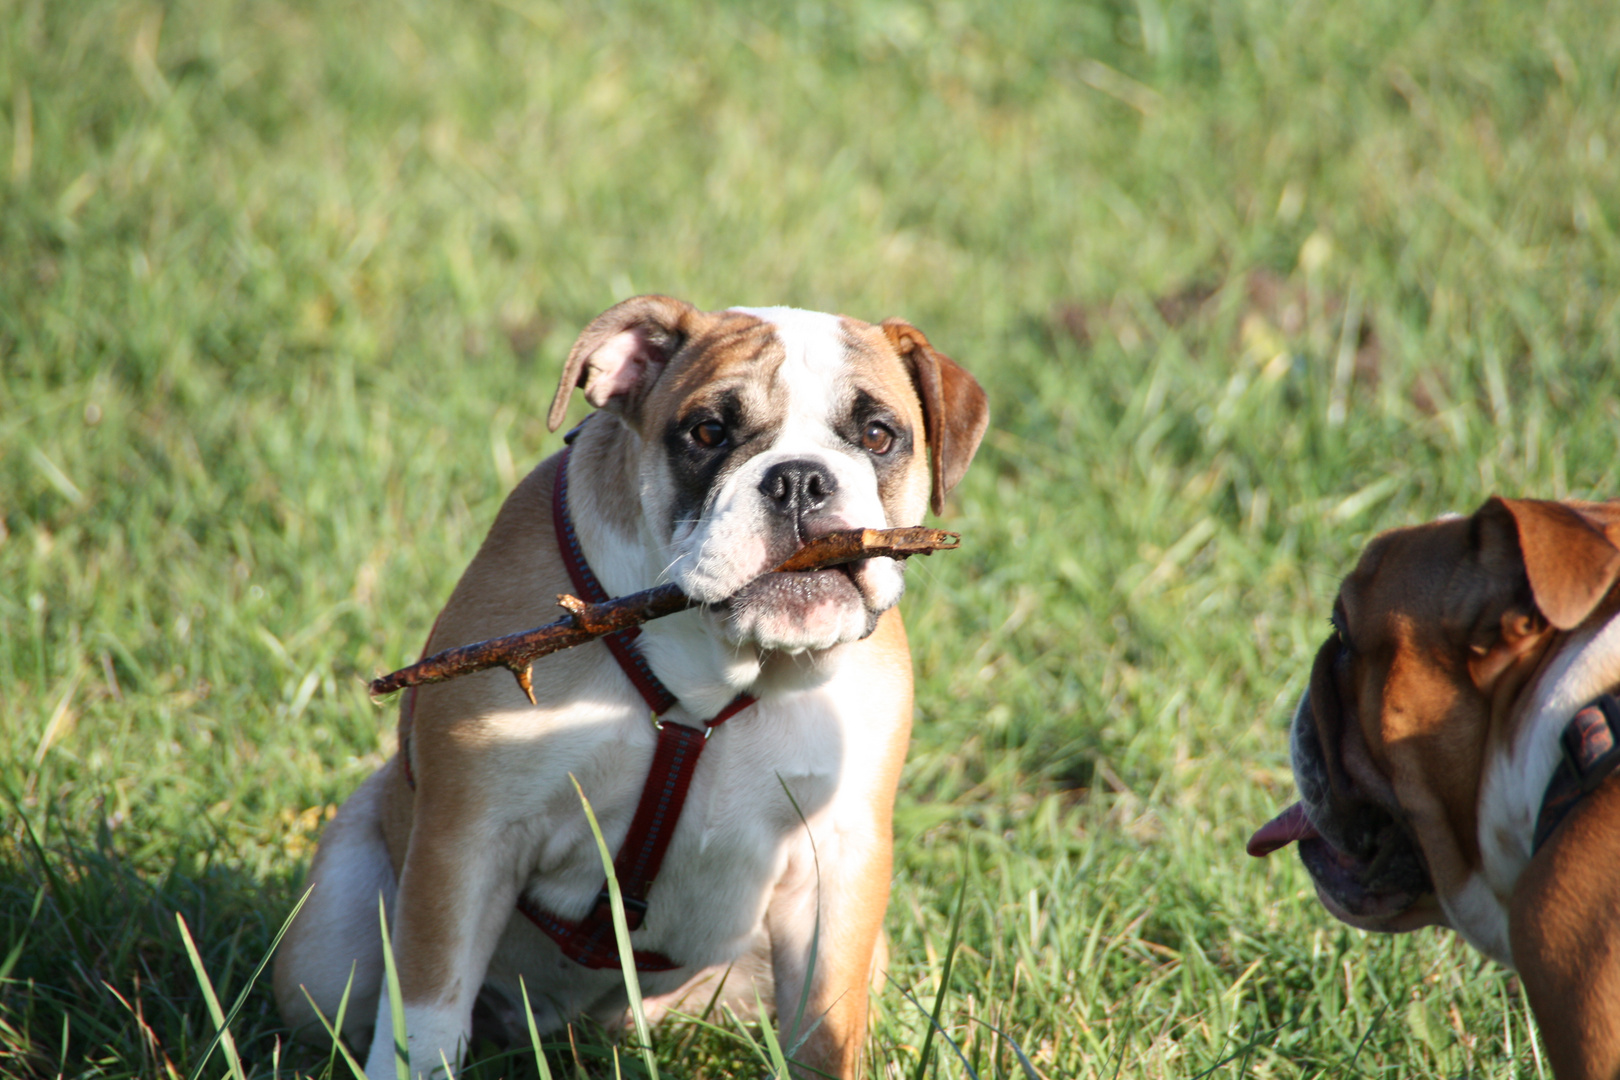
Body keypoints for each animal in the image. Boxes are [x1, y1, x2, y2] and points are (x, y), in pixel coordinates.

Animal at [268, 296, 984, 1080]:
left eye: (879, 436)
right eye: (708, 432)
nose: (799, 479)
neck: (721, 668)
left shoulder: (841, 864)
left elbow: (827, 1031)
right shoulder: (467, 840)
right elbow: (426, 1021)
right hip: (324, 953)